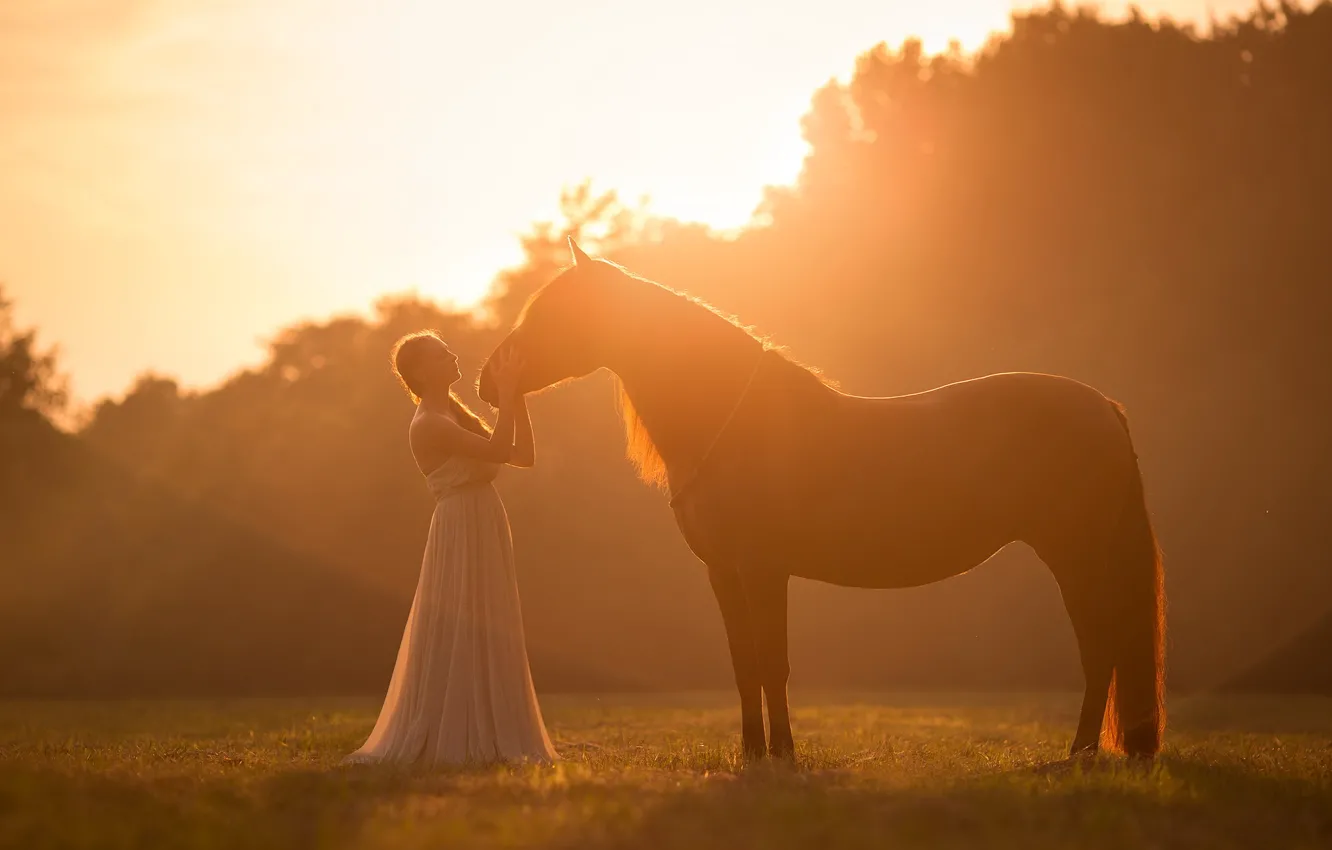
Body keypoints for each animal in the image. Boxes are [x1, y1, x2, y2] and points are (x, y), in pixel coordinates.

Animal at [478, 238, 1166, 762]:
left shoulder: (763, 570)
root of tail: (1103, 406)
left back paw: (1078, 754)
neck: (729, 424)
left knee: (1100, 648)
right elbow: (744, 666)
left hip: (1074, 555)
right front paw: (752, 754)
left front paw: (783, 754)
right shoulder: (724, 574)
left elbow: (772, 662)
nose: (487, 381)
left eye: (553, 314)